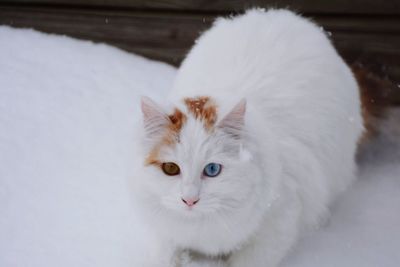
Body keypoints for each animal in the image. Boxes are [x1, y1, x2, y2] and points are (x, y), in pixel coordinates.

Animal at [131, 8, 366, 267]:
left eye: (212, 169)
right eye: (171, 169)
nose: (189, 200)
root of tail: (277, 13)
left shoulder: (279, 221)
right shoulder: (163, 232)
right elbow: (165, 255)